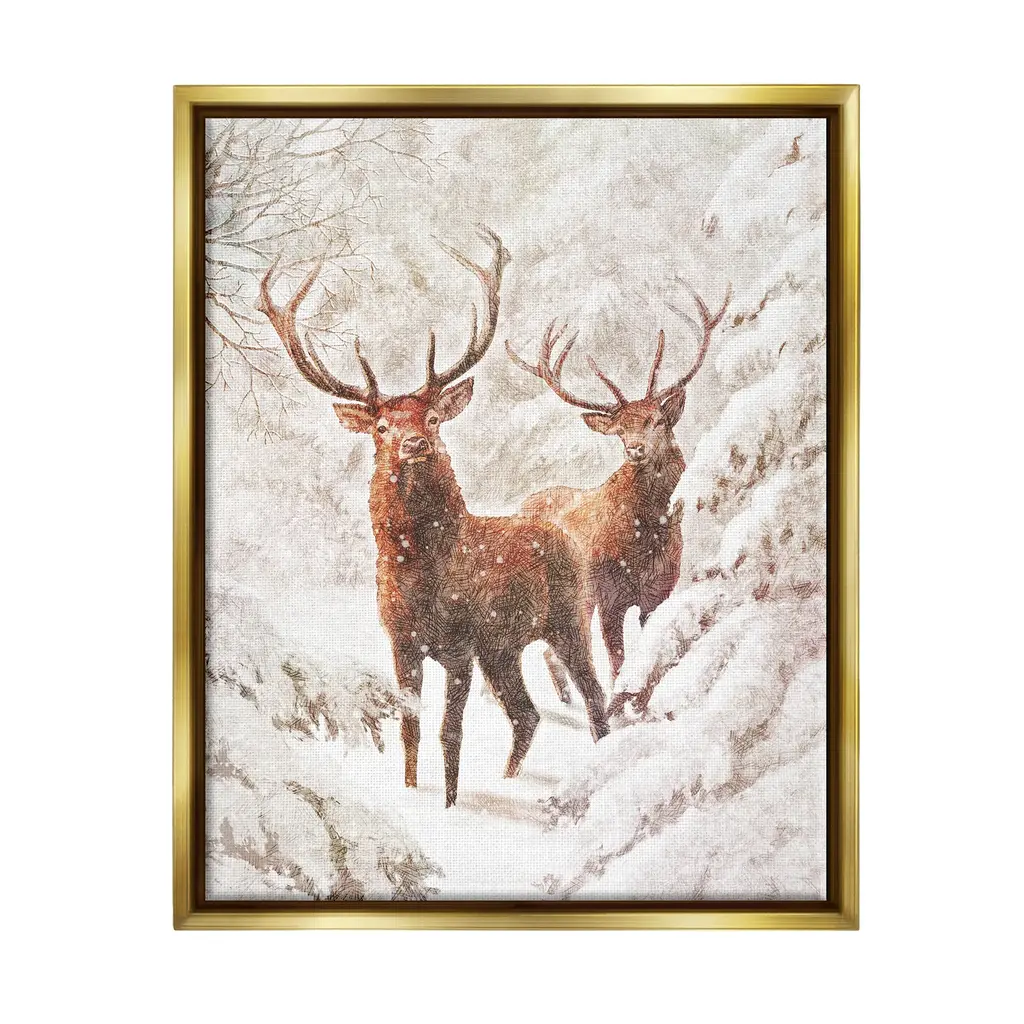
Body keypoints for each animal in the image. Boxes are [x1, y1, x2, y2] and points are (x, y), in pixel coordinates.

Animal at [257, 227, 609, 807]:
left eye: (434, 417)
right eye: (381, 427)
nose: (415, 443)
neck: (423, 573)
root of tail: (565, 533)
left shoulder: (460, 644)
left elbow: (450, 731)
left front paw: (447, 805)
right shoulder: (402, 642)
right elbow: (410, 727)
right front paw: (410, 790)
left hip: (567, 619)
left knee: (596, 697)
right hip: (503, 646)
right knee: (526, 714)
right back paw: (508, 779)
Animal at [506, 281, 731, 713]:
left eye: (656, 420)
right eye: (619, 429)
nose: (635, 449)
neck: (645, 538)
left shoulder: (659, 593)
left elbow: (649, 657)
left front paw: (642, 706)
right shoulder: (608, 596)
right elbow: (617, 661)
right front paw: (623, 711)